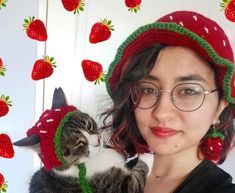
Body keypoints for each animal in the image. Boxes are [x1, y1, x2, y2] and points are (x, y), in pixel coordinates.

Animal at [13, 88, 149, 193]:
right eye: (78, 143)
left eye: (89, 125)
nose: (98, 141)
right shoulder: (121, 186)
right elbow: (140, 172)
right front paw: (144, 157)